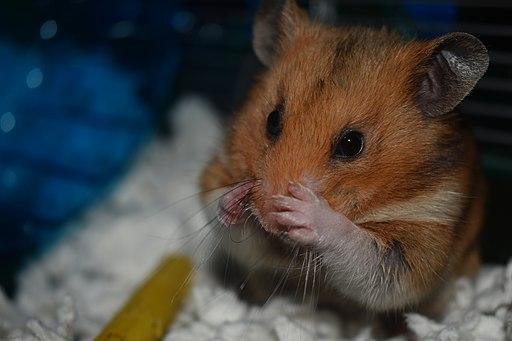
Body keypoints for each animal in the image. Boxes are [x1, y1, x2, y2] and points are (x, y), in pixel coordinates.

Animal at [199, 0, 488, 314]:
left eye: (351, 144)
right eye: (272, 120)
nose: (269, 217)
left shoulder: (422, 236)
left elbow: (362, 253)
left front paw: (302, 210)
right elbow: (218, 207)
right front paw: (239, 197)